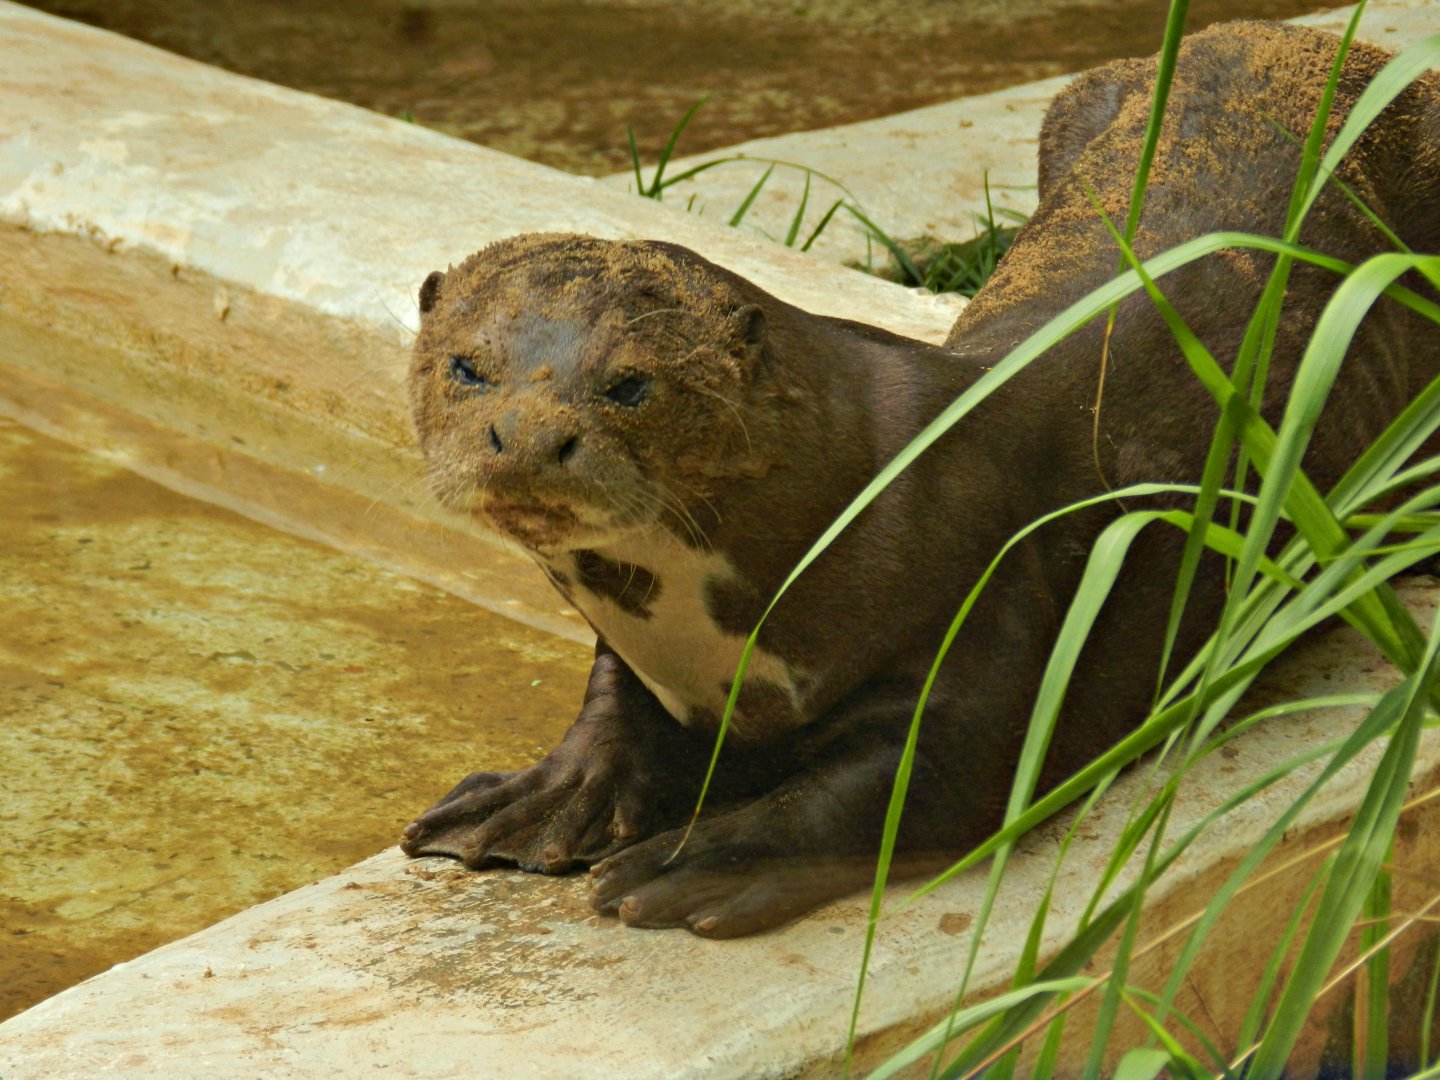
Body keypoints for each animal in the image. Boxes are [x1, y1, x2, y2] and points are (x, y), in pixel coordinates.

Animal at [400, 21, 1440, 937]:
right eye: (466, 366)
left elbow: (918, 778)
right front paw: (540, 796)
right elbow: (613, 704)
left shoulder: (989, 587)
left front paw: (696, 862)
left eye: (629, 383)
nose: (526, 438)